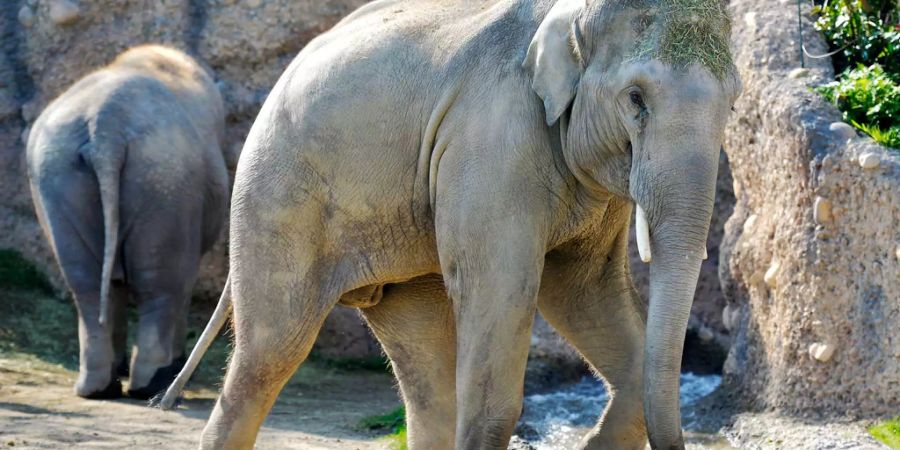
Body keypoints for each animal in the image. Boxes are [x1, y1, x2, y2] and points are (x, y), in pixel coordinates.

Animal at [28, 44, 229, 400]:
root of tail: (106, 125)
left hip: (58, 173)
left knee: (89, 284)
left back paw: (98, 387)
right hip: (164, 178)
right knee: (162, 285)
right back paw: (151, 384)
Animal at [162, 0, 740, 448]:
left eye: (733, 104)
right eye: (636, 99)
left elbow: (581, 290)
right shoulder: (492, 143)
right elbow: (502, 290)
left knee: (425, 375)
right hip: (275, 193)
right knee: (268, 353)